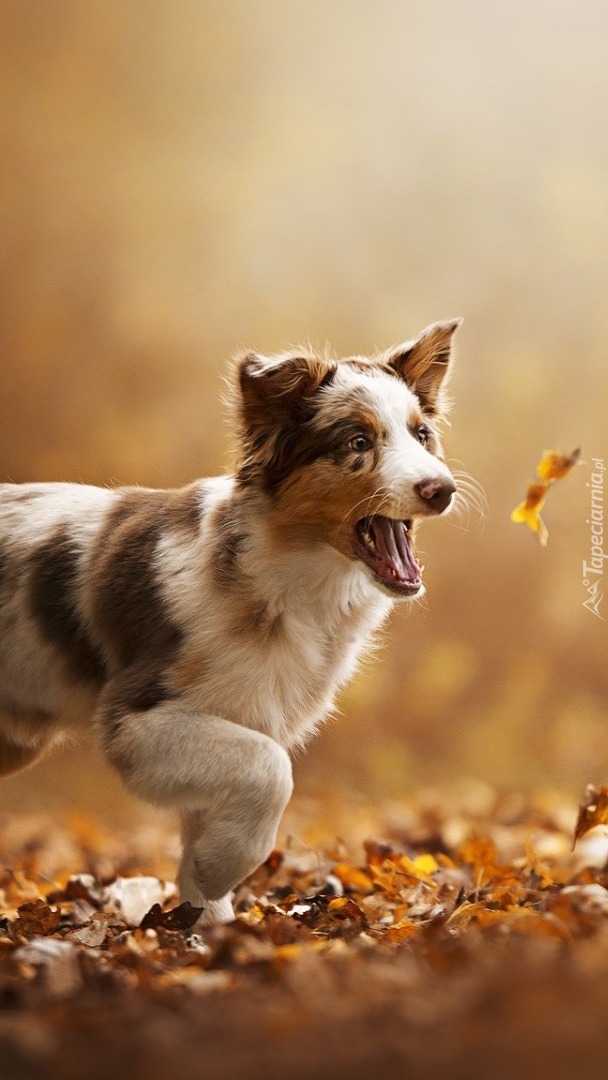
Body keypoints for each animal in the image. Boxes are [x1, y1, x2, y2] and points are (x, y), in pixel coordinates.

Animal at [0, 315, 460, 924]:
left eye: (422, 436)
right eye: (358, 442)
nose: (443, 490)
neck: (281, 578)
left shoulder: (234, 718)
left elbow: (209, 827)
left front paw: (205, 920)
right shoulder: (135, 718)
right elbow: (272, 769)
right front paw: (221, 869)